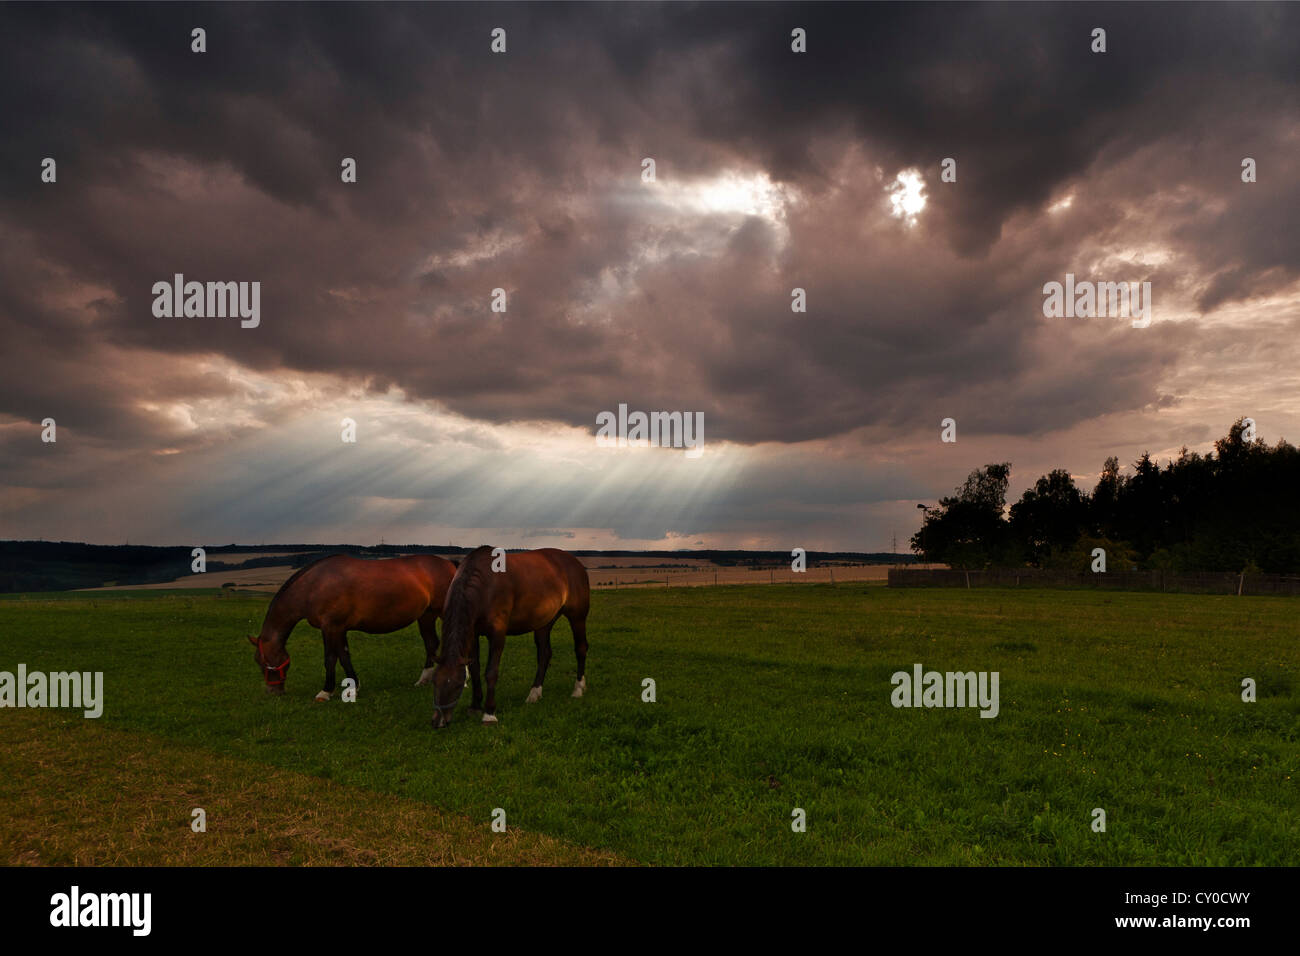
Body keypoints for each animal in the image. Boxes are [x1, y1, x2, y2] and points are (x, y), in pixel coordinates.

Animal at [248, 554, 457, 702]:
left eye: (261, 661)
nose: (273, 691)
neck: (315, 585)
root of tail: (449, 564)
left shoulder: (330, 627)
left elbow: (330, 659)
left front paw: (325, 691)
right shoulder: (340, 629)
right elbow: (344, 656)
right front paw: (353, 686)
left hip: (443, 612)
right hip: (426, 615)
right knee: (431, 643)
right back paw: (425, 679)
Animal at [428, 546, 592, 723]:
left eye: (458, 685)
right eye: (434, 682)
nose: (438, 721)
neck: (485, 586)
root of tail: (575, 562)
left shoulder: (498, 634)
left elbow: (491, 672)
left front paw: (489, 713)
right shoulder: (472, 634)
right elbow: (474, 668)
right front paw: (475, 706)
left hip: (577, 617)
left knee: (581, 648)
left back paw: (578, 688)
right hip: (544, 622)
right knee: (544, 654)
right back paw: (534, 693)